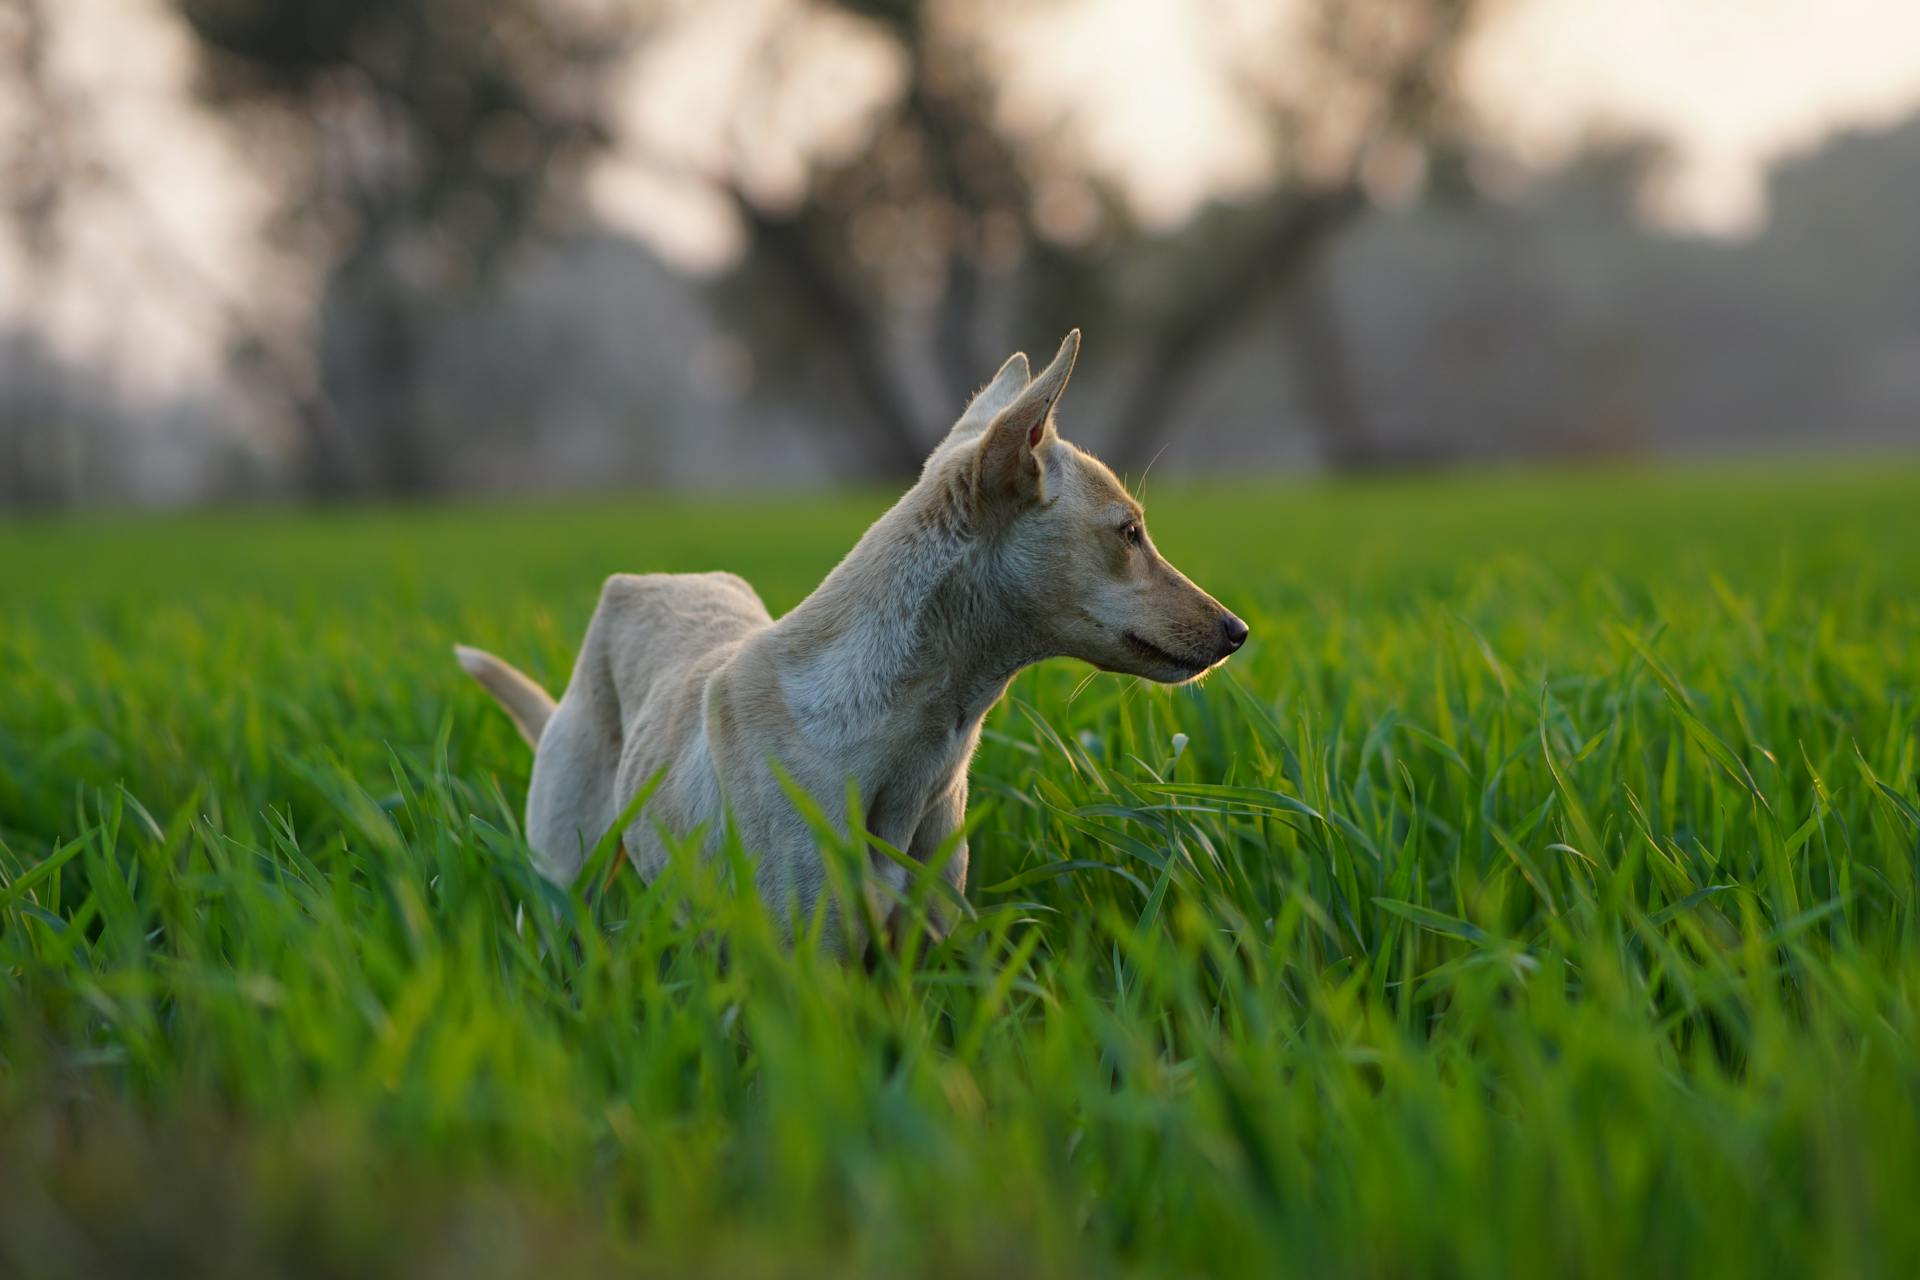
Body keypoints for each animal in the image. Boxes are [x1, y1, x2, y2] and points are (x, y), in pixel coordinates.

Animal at [458, 333, 1251, 951]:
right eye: (1129, 532)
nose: (1238, 631)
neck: (906, 729)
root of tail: (635, 585)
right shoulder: (813, 961)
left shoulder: (921, 947)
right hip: (566, 882)